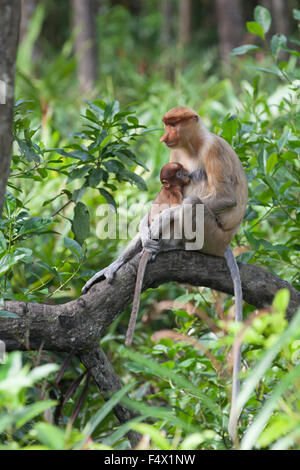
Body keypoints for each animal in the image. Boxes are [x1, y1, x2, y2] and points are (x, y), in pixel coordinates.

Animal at [125, 163, 189, 346]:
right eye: (179, 174)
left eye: (183, 171)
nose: (187, 175)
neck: (166, 187)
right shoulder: (175, 192)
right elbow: (177, 210)